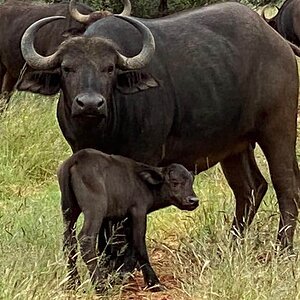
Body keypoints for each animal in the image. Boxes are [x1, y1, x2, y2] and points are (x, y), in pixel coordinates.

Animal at [18, 1, 300, 253]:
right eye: (67, 68)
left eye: (109, 68)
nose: (90, 104)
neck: (103, 129)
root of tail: (279, 43)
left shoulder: (144, 156)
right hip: (234, 146)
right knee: (250, 188)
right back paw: (231, 246)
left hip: (278, 129)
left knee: (286, 186)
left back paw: (282, 248)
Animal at [58, 149, 199, 292]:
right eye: (175, 182)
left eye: (191, 182)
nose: (193, 200)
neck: (145, 183)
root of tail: (76, 159)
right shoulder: (138, 212)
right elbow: (139, 244)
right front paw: (154, 283)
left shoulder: (125, 219)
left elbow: (130, 246)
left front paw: (121, 275)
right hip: (95, 209)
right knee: (86, 239)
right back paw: (101, 286)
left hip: (68, 210)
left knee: (69, 241)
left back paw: (73, 283)